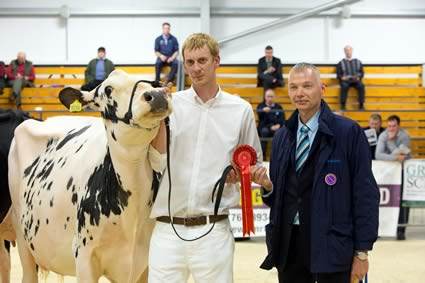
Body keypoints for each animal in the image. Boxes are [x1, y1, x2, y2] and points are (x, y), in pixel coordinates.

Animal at [4, 70, 170, 282]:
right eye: (108, 89)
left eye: (154, 82)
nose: (157, 95)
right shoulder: (84, 255)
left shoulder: (145, 263)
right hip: (22, 236)